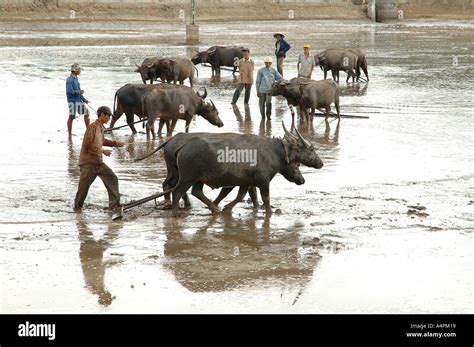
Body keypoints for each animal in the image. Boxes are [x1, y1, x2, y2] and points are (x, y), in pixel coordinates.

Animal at [163, 125, 322, 218]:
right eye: (311, 149)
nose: (320, 163)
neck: (274, 152)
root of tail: (182, 146)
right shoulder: (263, 181)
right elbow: (265, 198)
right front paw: (269, 212)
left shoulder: (246, 182)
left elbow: (242, 196)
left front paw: (227, 207)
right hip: (187, 178)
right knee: (177, 191)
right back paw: (176, 213)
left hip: (198, 179)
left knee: (196, 192)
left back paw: (215, 209)